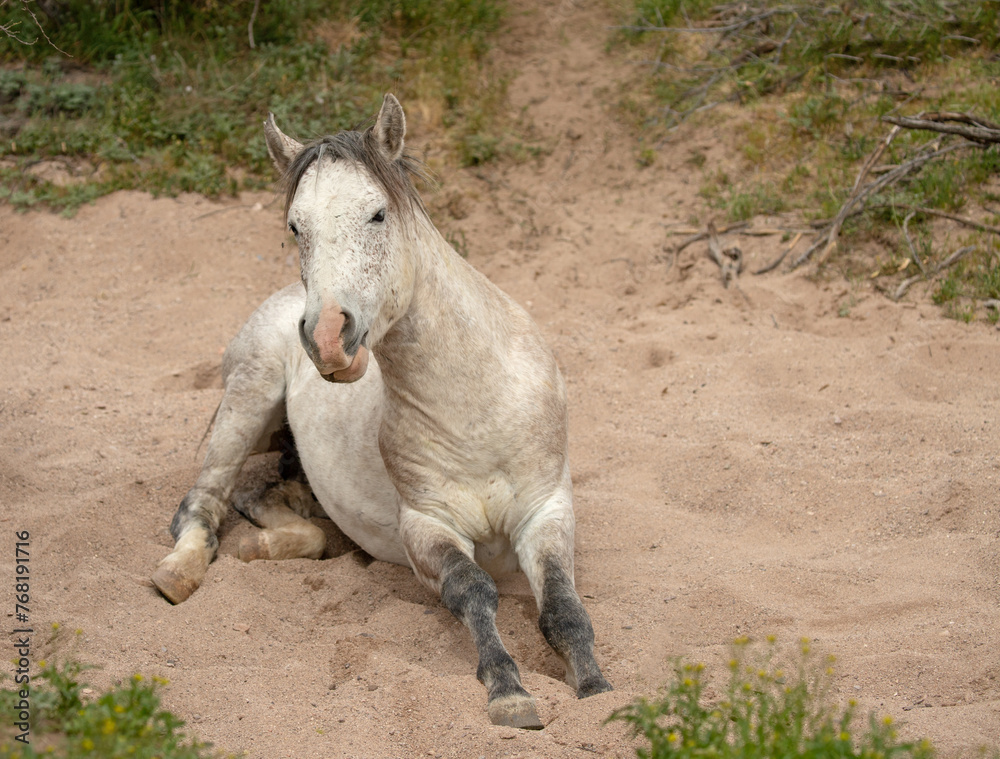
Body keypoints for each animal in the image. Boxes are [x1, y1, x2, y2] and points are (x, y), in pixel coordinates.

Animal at [151, 94, 612, 729]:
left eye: (377, 215)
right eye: (296, 226)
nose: (326, 339)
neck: (476, 414)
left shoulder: (547, 511)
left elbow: (565, 608)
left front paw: (595, 689)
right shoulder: (427, 526)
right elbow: (473, 590)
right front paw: (509, 692)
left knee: (265, 500)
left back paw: (267, 538)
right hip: (246, 401)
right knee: (205, 500)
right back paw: (181, 571)